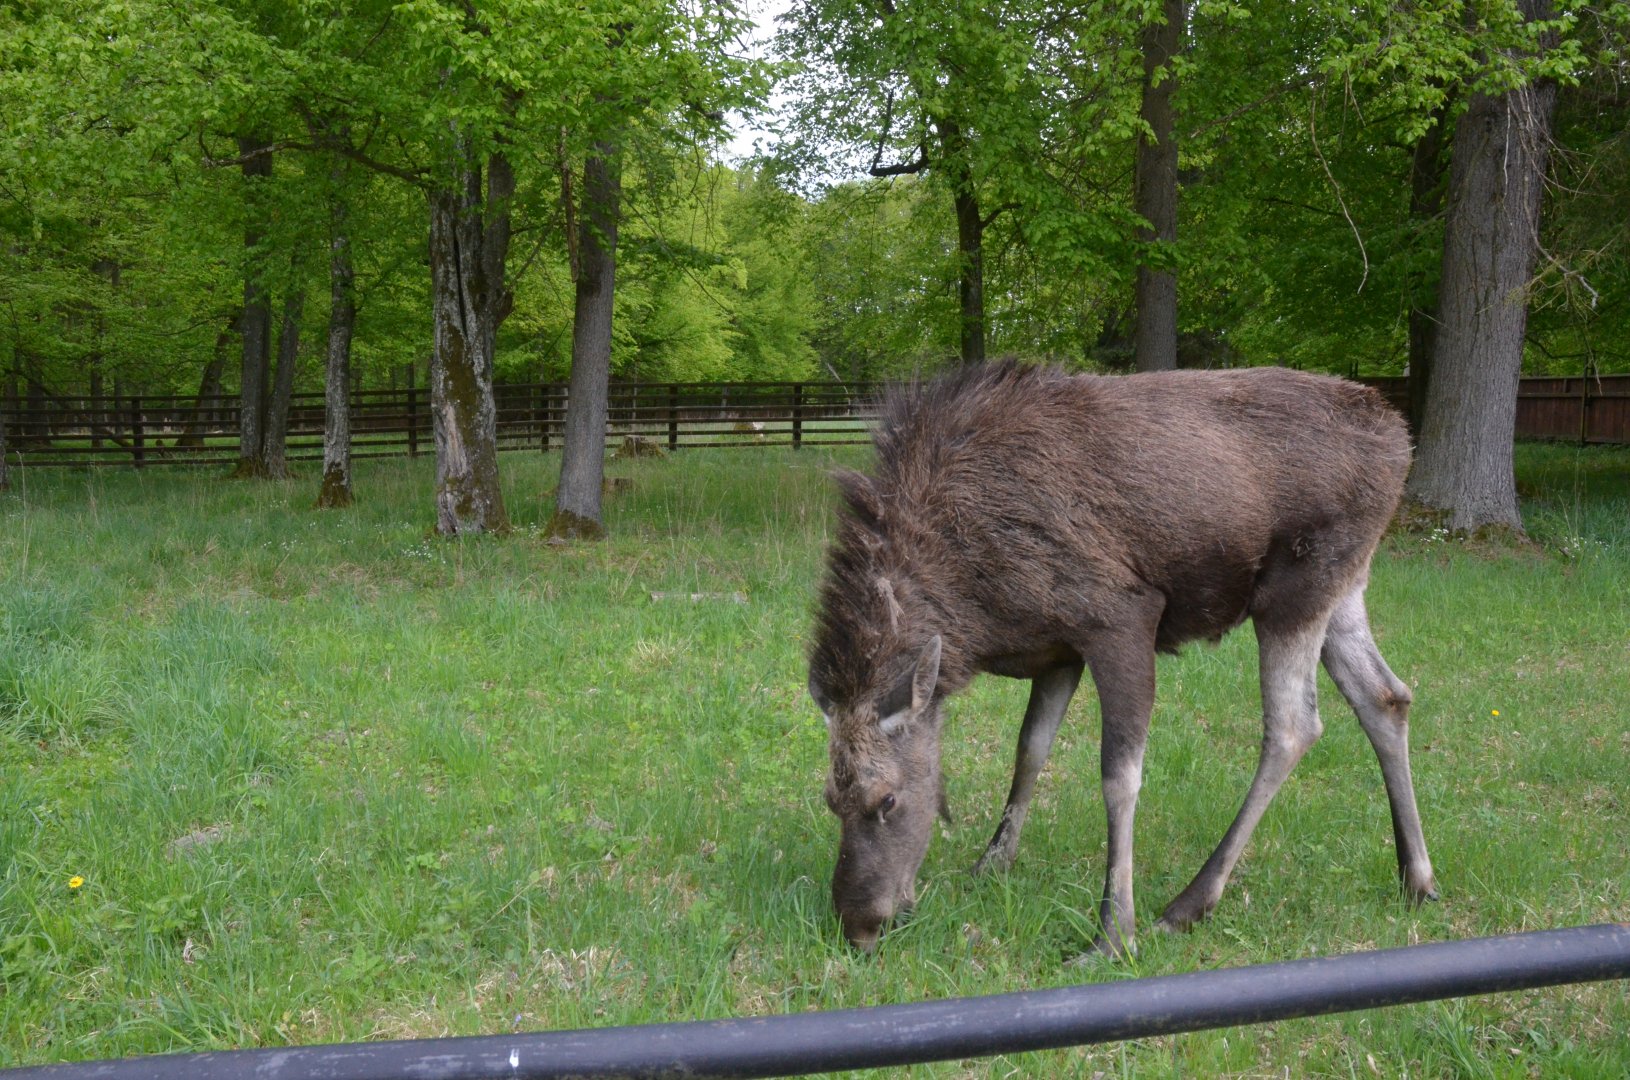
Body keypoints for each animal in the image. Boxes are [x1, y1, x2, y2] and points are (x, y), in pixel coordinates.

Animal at [808, 361, 1437, 959]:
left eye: (887, 799)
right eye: (830, 800)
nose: (859, 926)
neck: (973, 613)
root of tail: (1397, 438)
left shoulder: (1120, 616)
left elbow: (1119, 776)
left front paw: (1112, 932)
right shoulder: (1058, 650)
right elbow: (1030, 750)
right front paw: (991, 864)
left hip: (1295, 586)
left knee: (1293, 726)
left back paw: (1188, 904)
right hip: (1343, 585)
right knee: (1385, 695)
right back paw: (1417, 877)